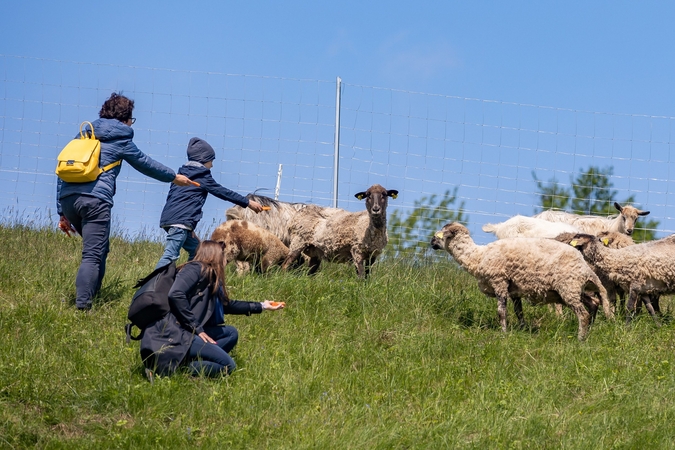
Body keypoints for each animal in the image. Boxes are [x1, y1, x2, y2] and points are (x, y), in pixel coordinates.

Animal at [434, 221, 612, 342]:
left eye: (439, 236)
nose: (431, 243)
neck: (478, 256)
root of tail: (584, 267)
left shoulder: (499, 282)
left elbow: (502, 311)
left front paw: (503, 333)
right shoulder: (514, 290)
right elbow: (519, 311)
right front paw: (522, 329)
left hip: (569, 287)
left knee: (583, 314)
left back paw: (580, 338)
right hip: (573, 289)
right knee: (594, 303)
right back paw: (589, 331)